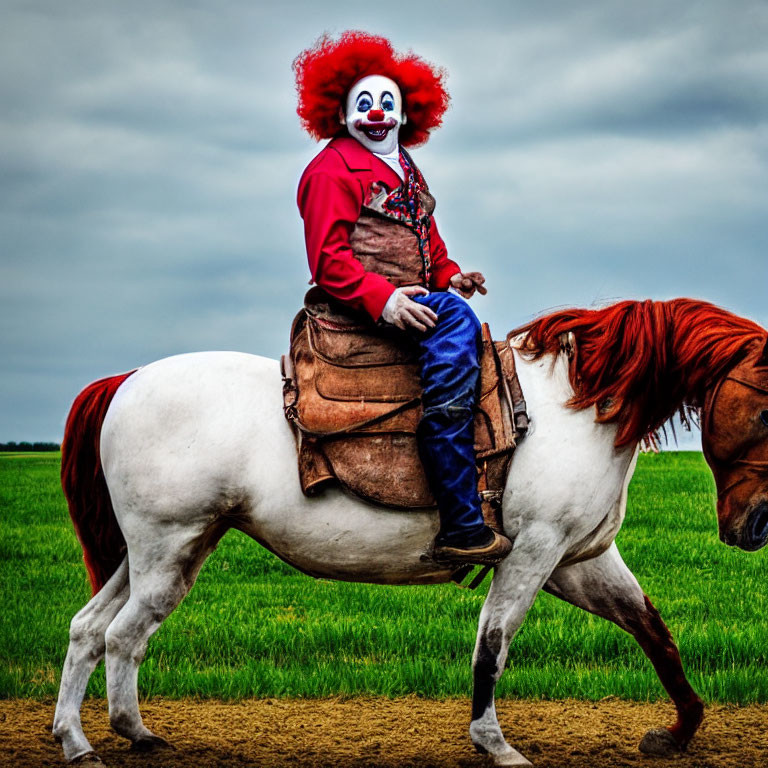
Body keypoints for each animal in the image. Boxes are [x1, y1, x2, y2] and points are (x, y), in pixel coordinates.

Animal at [52, 296, 768, 764]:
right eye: (764, 412)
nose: (756, 527)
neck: (576, 406)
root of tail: (127, 380)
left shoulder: (577, 561)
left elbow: (653, 631)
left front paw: (678, 733)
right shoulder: (534, 551)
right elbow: (493, 644)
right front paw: (495, 745)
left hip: (160, 554)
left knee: (89, 629)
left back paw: (84, 739)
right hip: (167, 550)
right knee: (121, 636)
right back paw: (118, 736)